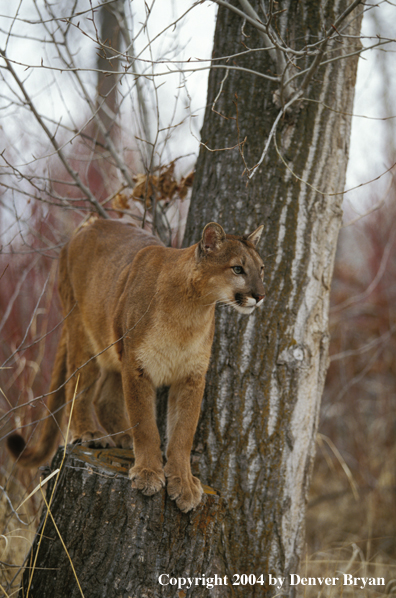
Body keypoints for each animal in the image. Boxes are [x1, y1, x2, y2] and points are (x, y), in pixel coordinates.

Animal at [6, 218, 266, 512]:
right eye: (237, 269)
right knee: (79, 384)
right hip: (83, 334)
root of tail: (88, 223)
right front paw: (149, 473)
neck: (191, 311)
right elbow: (145, 424)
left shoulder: (191, 376)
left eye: (261, 269)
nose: (260, 295)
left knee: (104, 398)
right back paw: (90, 433)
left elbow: (183, 432)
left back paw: (123, 438)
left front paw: (184, 482)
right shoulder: (137, 366)